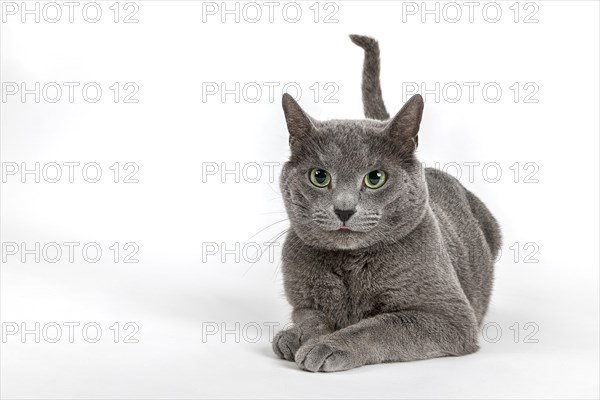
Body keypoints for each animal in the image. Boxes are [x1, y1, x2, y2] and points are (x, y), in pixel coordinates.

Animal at [272, 36, 502, 374]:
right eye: (319, 176)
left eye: (375, 178)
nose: (344, 209)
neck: (351, 265)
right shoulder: (303, 301)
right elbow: (311, 317)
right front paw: (295, 336)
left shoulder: (450, 316)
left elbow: (380, 326)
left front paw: (327, 346)